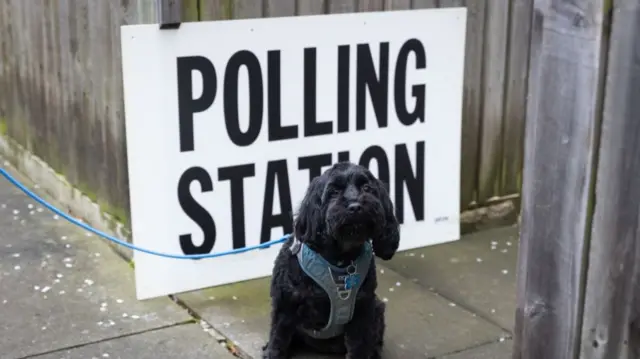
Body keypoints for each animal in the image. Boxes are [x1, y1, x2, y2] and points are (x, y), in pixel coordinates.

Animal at [262, 162, 398, 358]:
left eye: (367, 188)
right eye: (334, 191)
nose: (355, 206)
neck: (340, 259)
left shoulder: (363, 311)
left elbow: (360, 345)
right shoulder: (285, 303)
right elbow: (278, 338)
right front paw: (272, 352)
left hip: (378, 308)